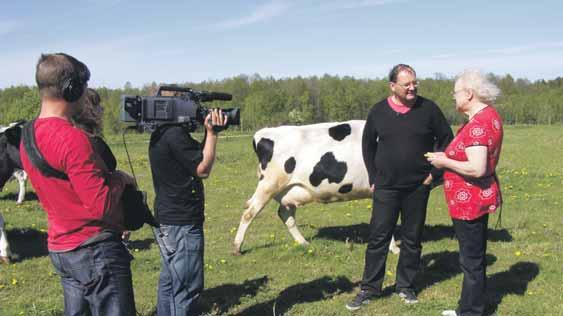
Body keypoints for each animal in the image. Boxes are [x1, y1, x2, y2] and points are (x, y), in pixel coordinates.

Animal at [234, 119, 400, 256]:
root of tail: (263, 133)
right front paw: (394, 248)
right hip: (269, 185)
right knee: (249, 213)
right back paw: (237, 247)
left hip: (289, 191)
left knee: (284, 214)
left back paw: (303, 242)